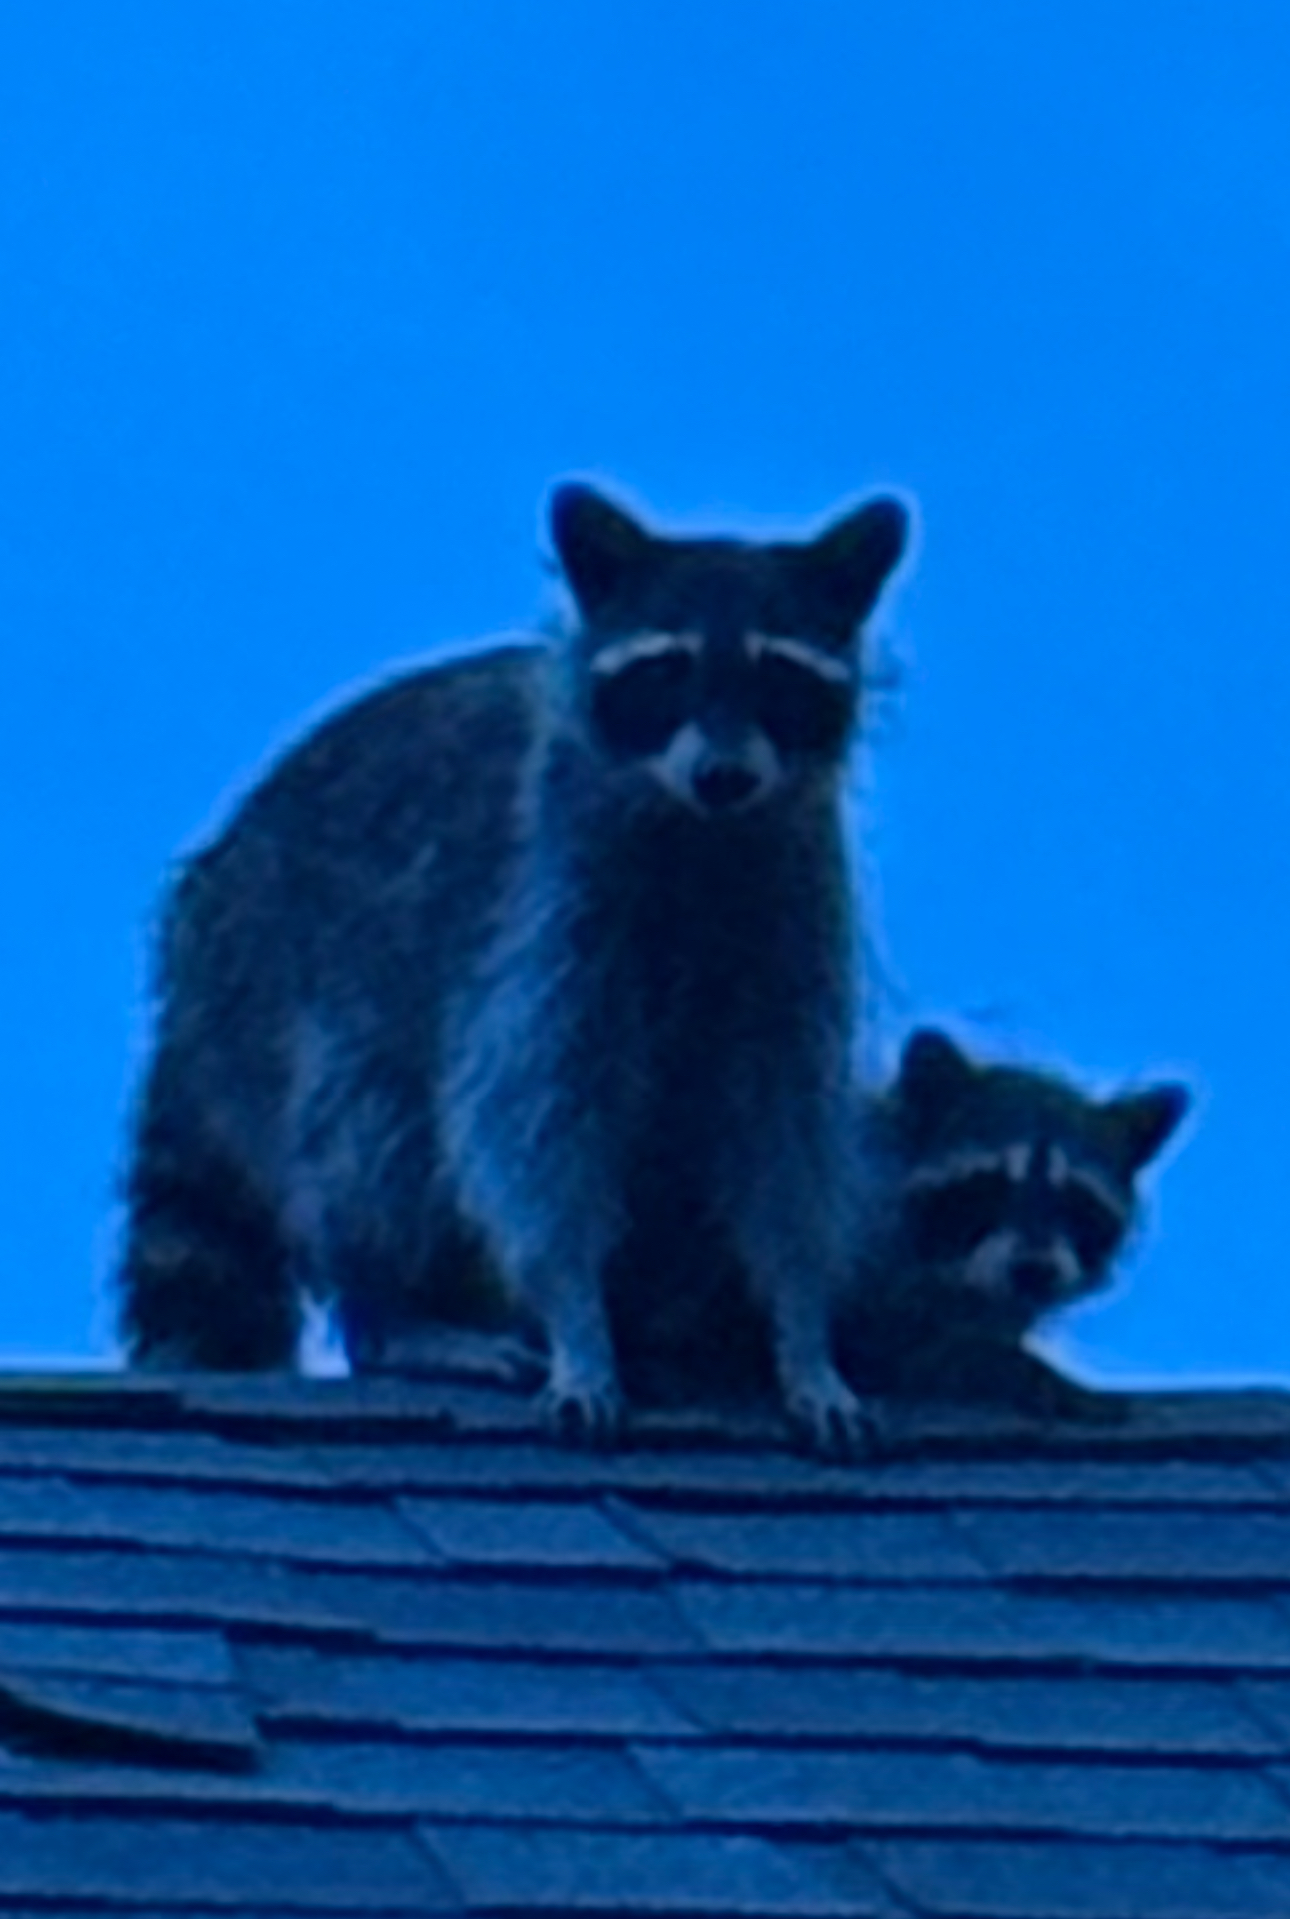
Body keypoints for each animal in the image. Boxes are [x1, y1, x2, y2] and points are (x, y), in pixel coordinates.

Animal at [120, 481, 909, 1455]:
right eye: (670, 670)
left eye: (778, 676)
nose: (724, 775)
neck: (697, 832)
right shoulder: (542, 906)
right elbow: (535, 1126)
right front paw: (577, 1318)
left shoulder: (791, 910)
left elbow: (785, 1134)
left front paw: (800, 1328)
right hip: (278, 984)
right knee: (366, 1121)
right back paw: (392, 1307)